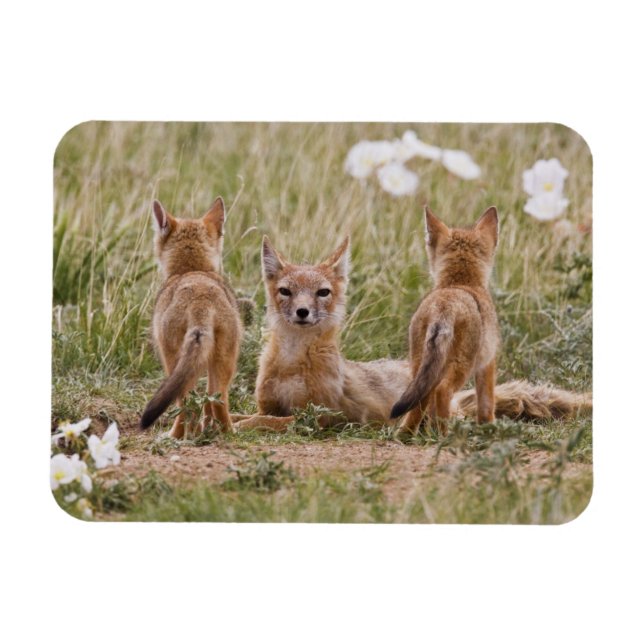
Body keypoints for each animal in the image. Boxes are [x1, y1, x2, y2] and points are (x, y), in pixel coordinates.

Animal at [140, 197, 242, 438]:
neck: (192, 270)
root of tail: (200, 298)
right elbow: (206, 404)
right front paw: (205, 430)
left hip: (173, 361)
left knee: (185, 403)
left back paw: (174, 436)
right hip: (224, 361)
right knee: (217, 399)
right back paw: (227, 433)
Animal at [233, 233, 591, 433]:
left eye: (322, 292)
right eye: (286, 291)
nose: (303, 312)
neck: (292, 363)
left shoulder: (320, 416)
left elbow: (262, 422)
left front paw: (235, 427)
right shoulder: (268, 405)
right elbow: (247, 414)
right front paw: (227, 422)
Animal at [390, 205, 500, 434]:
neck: (460, 283)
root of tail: (445, 304)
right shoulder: (488, 363)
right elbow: (487, 403)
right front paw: (490, 427)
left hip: (419, 365)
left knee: (420, 401)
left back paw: (406, 434)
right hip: (461, 367)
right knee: (443, 391)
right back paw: (444, 434)